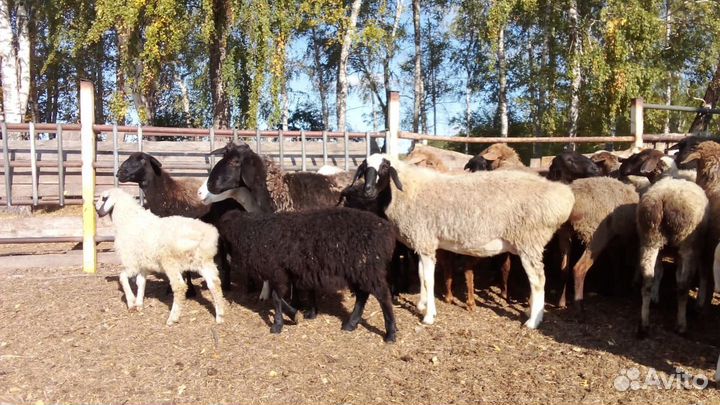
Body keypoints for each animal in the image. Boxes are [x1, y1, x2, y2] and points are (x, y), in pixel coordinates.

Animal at [95, 188, 225, 325]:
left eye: (103, 198)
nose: (96, 209)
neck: (128, 220)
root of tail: (205, 234)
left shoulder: (131, 262)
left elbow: (122, 277)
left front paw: (131, 302)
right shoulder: (143, 264)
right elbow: (141, 282)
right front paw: (139, 304)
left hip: (171, 262)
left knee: (179, 286)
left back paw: (172, 318)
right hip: (203, 261)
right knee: (214, 283)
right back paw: (220, 316)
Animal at [355, 154, 575, 327]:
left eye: (384, 168)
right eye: (365, 168)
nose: (367, 191)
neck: (408, 190)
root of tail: (564, 197)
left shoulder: (425, 241)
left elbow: (428, 279)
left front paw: (429, 316)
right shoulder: (423, 241)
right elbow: (421, 275)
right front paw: (422, 304)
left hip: (529, 241)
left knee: (538, 280)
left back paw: (533, 322)